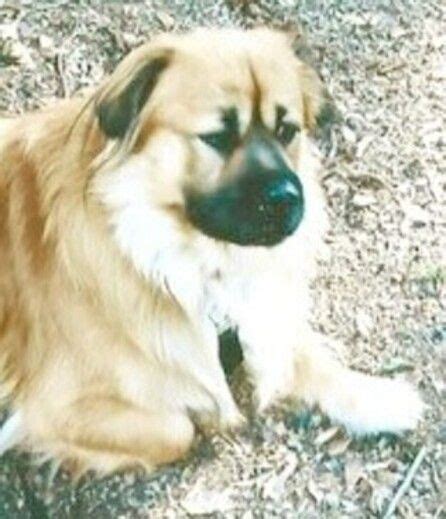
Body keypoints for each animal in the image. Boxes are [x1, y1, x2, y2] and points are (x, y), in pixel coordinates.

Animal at [0, 27, 422, 476]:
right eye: (217, 137)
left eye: (287, 130)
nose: (287, 198)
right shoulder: (55, 407)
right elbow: (177, 428)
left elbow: (302, 351)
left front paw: (377, 397)